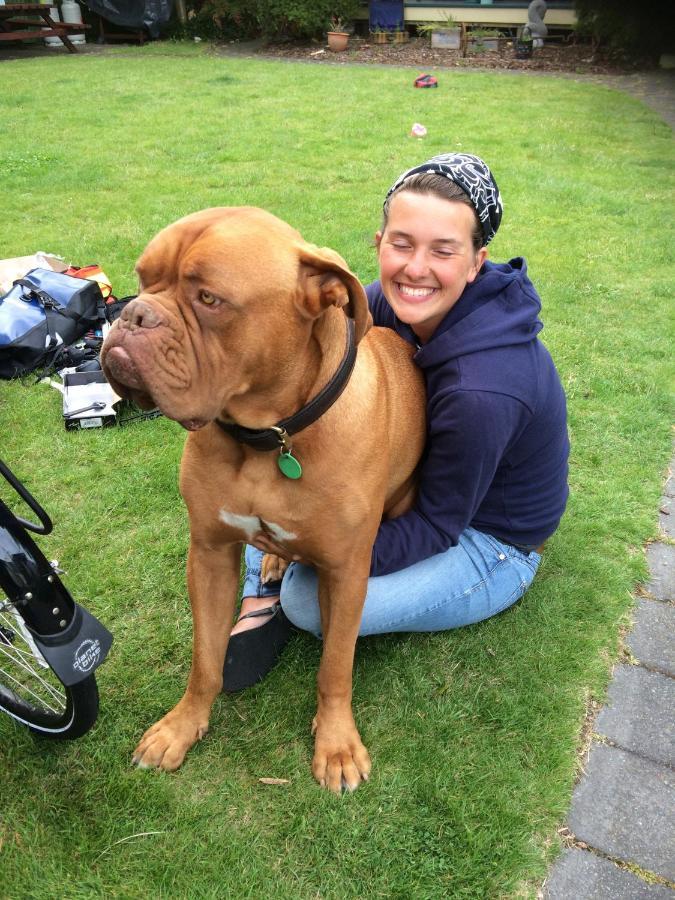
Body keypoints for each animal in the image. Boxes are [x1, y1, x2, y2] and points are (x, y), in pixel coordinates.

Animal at [101, 207, 426, 792]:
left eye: (209, 298)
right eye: (142, 280)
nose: (133, 315)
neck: (268, 436)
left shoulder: (346, 571)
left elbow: (335, 665)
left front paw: (337, 744)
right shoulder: (209, 553)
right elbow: (206, 658)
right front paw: (182, 726)